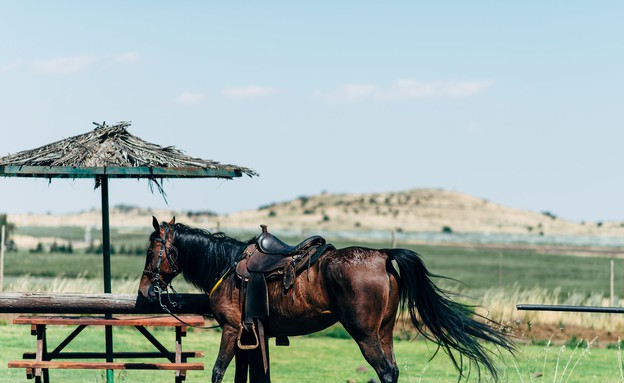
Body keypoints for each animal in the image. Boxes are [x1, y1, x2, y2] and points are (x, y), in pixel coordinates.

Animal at [139, 219, 516, 383]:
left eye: (152, 250)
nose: (146, 292)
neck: (228, 267)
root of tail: (382, 255)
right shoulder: (251, 335)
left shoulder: (232, 330)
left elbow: (219, 371)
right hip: (384, 332)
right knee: (392, 370)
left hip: (364, 334)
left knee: (385, 371)